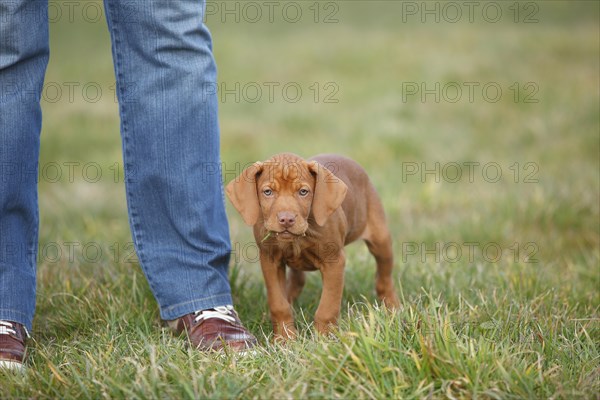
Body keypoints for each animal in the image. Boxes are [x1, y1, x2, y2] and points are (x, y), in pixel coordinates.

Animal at [227, 152, 400, 338]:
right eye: (268, 192)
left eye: (303, 192)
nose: (286, 219)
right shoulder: (270, 261)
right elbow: (278, 304)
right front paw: (285, 338)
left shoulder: (334, 262)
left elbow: (327, 307)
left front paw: (323, 338)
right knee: (296, 281)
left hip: (380, 240)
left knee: (384, 276)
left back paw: (393, 307)